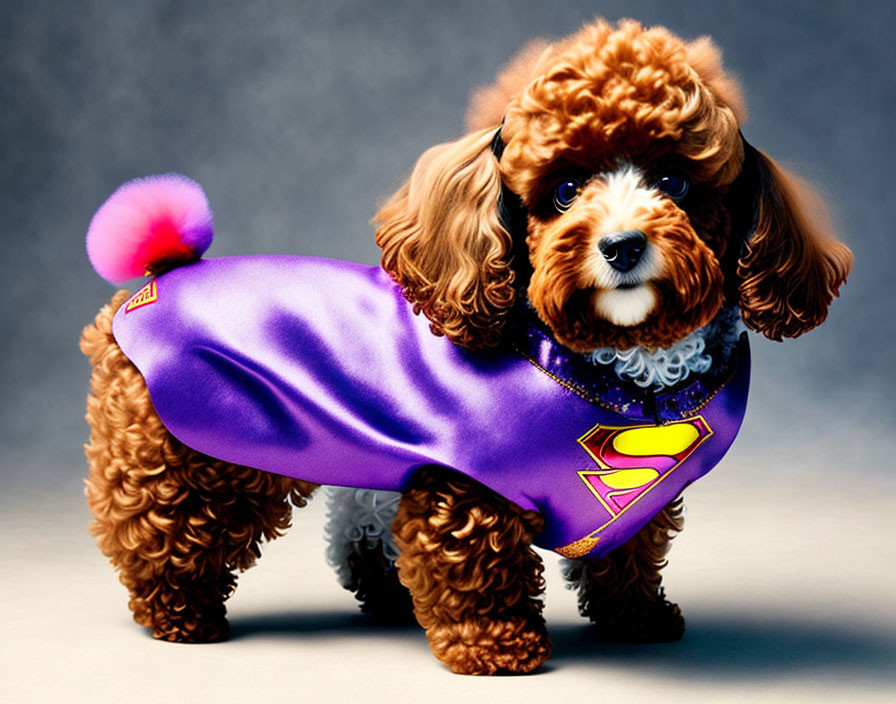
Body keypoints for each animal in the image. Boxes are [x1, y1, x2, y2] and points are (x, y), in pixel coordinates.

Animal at [80, 19, 852, 672]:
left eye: (674, 182)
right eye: (565, 188)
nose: (623, 245)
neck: (624, 370)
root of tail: (159, 279)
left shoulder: (634, 505)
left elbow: (627, 556)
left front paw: (635, 619)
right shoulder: (465, 483)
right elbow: (478, 562)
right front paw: (495, 645)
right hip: (197, 458)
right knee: (161, 531)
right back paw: (179, 613)